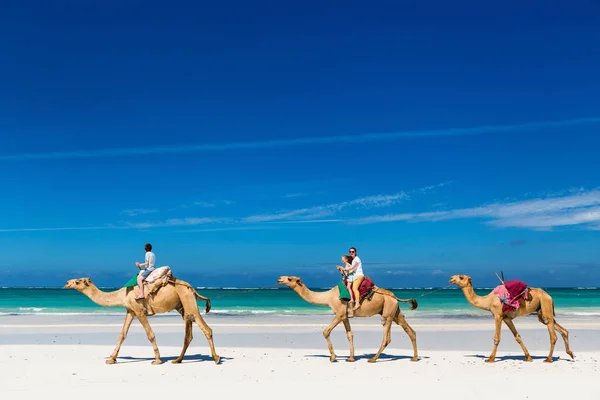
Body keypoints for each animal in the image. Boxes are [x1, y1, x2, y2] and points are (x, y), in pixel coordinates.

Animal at [62, 278, 220, 366]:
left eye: (77, 281)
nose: (66, 283)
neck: (122, 294)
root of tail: (192, 288)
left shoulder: (139, 311)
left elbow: (150, 334)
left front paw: (157, 360)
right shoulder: (130, 311)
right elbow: (122, 334)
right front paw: (111, 359)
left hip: (188, 299)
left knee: (206, 328)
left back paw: (217, 358)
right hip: (181, 305)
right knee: (188, 334)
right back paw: (177, 360)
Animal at [276, 276, 418, 362]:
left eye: (289, 278)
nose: (279, 279)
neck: (328, 297)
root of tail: (395, 296)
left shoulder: (339, 314)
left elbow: (326, 331)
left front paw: (333, 357)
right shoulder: (345, 316)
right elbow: (350, 335)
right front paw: (351, 358)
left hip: (387, 313)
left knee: (387, 337)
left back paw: (373, 359)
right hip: (395, 312)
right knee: (410, 330)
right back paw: (415, 358)